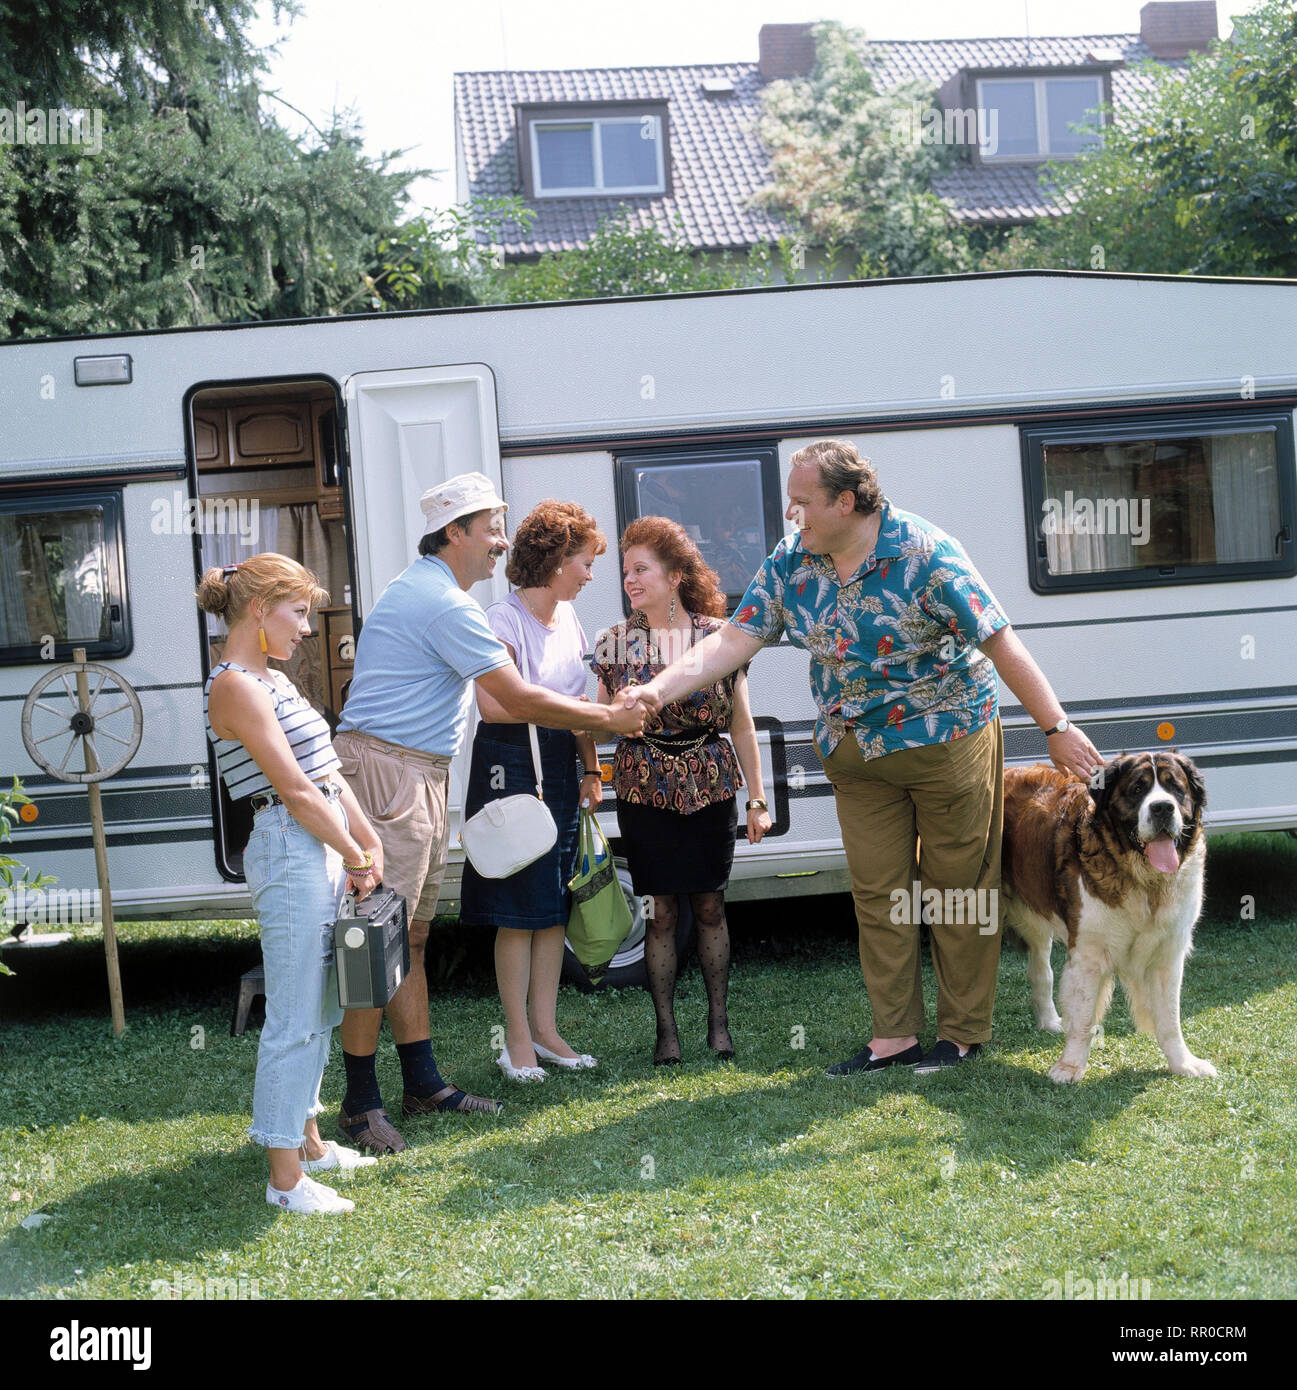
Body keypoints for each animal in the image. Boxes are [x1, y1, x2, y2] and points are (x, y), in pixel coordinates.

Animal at [1000, 756, 1212, 1078]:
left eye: (1176, 788)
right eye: (1137, 789)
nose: (1162, 807)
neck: (1143, 880)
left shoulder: (1167, 953)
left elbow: (1169, 1018)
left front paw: (1184, 1063)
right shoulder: (1089, 953)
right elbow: (1084, 1016)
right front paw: (1070, 1066)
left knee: (1040, 970)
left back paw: (1049, 1021)